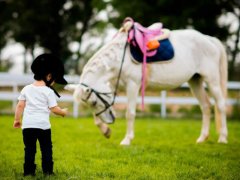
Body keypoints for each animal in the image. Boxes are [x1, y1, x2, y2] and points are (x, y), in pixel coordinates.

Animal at [66, 20, 228, 146]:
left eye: (93, 102)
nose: (110, 121)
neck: (119, 58)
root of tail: (209, 40)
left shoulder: (133, 86)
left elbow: (130, 113)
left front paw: (126, 140)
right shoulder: (111, 86)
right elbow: (96, 118)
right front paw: (106, 131)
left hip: (212, 80)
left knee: (220, 105)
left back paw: (222, 138)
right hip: (195, 81)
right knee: (205, 106)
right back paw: (202, 138)